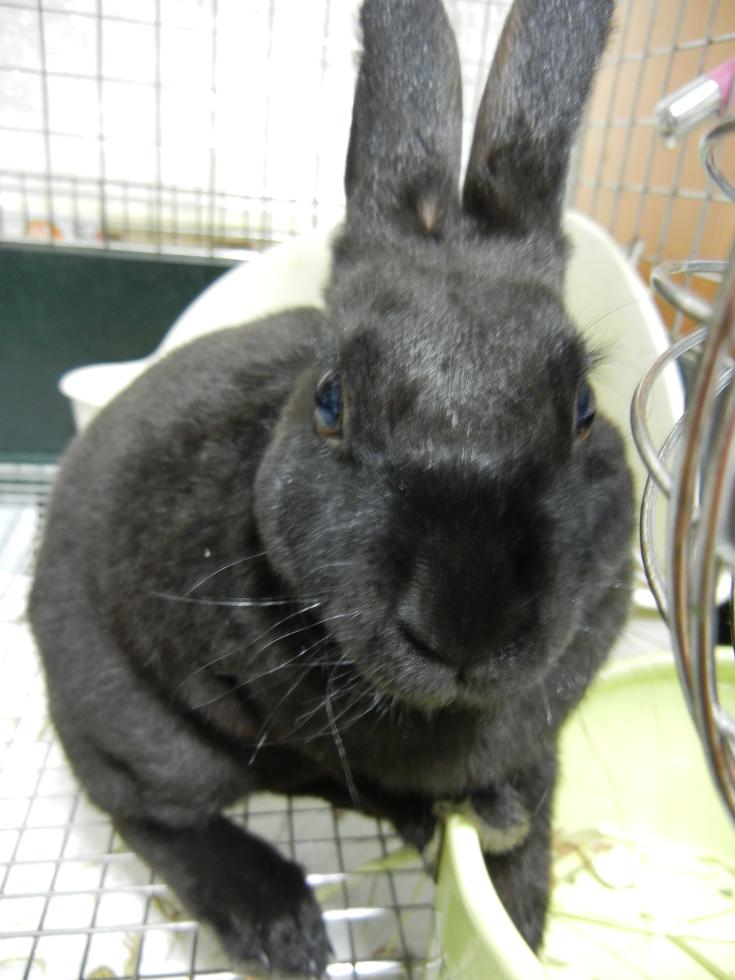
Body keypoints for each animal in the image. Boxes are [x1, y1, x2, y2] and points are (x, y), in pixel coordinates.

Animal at [29, 0, 632, 974]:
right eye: (330, 402)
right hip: (137, 730)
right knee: (144, 813)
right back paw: (280, 925)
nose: (465, 624)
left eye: (581, 408)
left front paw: (516, 884)